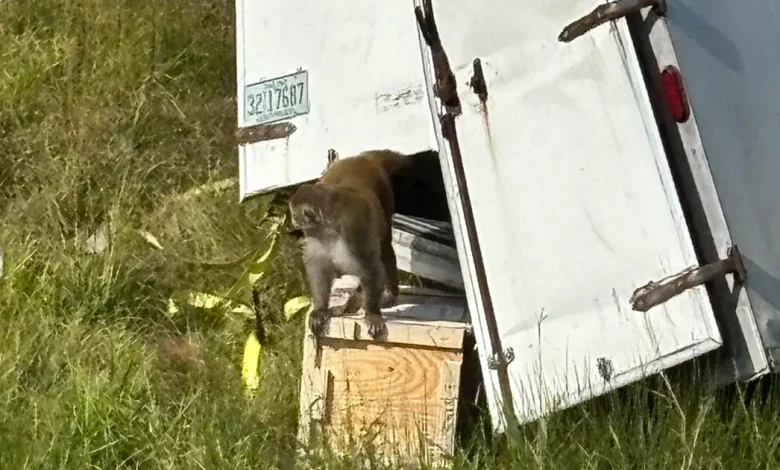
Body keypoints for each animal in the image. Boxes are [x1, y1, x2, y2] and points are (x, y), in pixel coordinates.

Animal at [289, 150, 404, 340]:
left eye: (295, 214)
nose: (293, 220)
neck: (328, 226)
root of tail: (361, 158)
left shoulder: (353, 228)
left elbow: (370, 267)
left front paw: (372, 313)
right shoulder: (316, 236)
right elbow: (319, 269)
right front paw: (321, 309)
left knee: (385, 246)